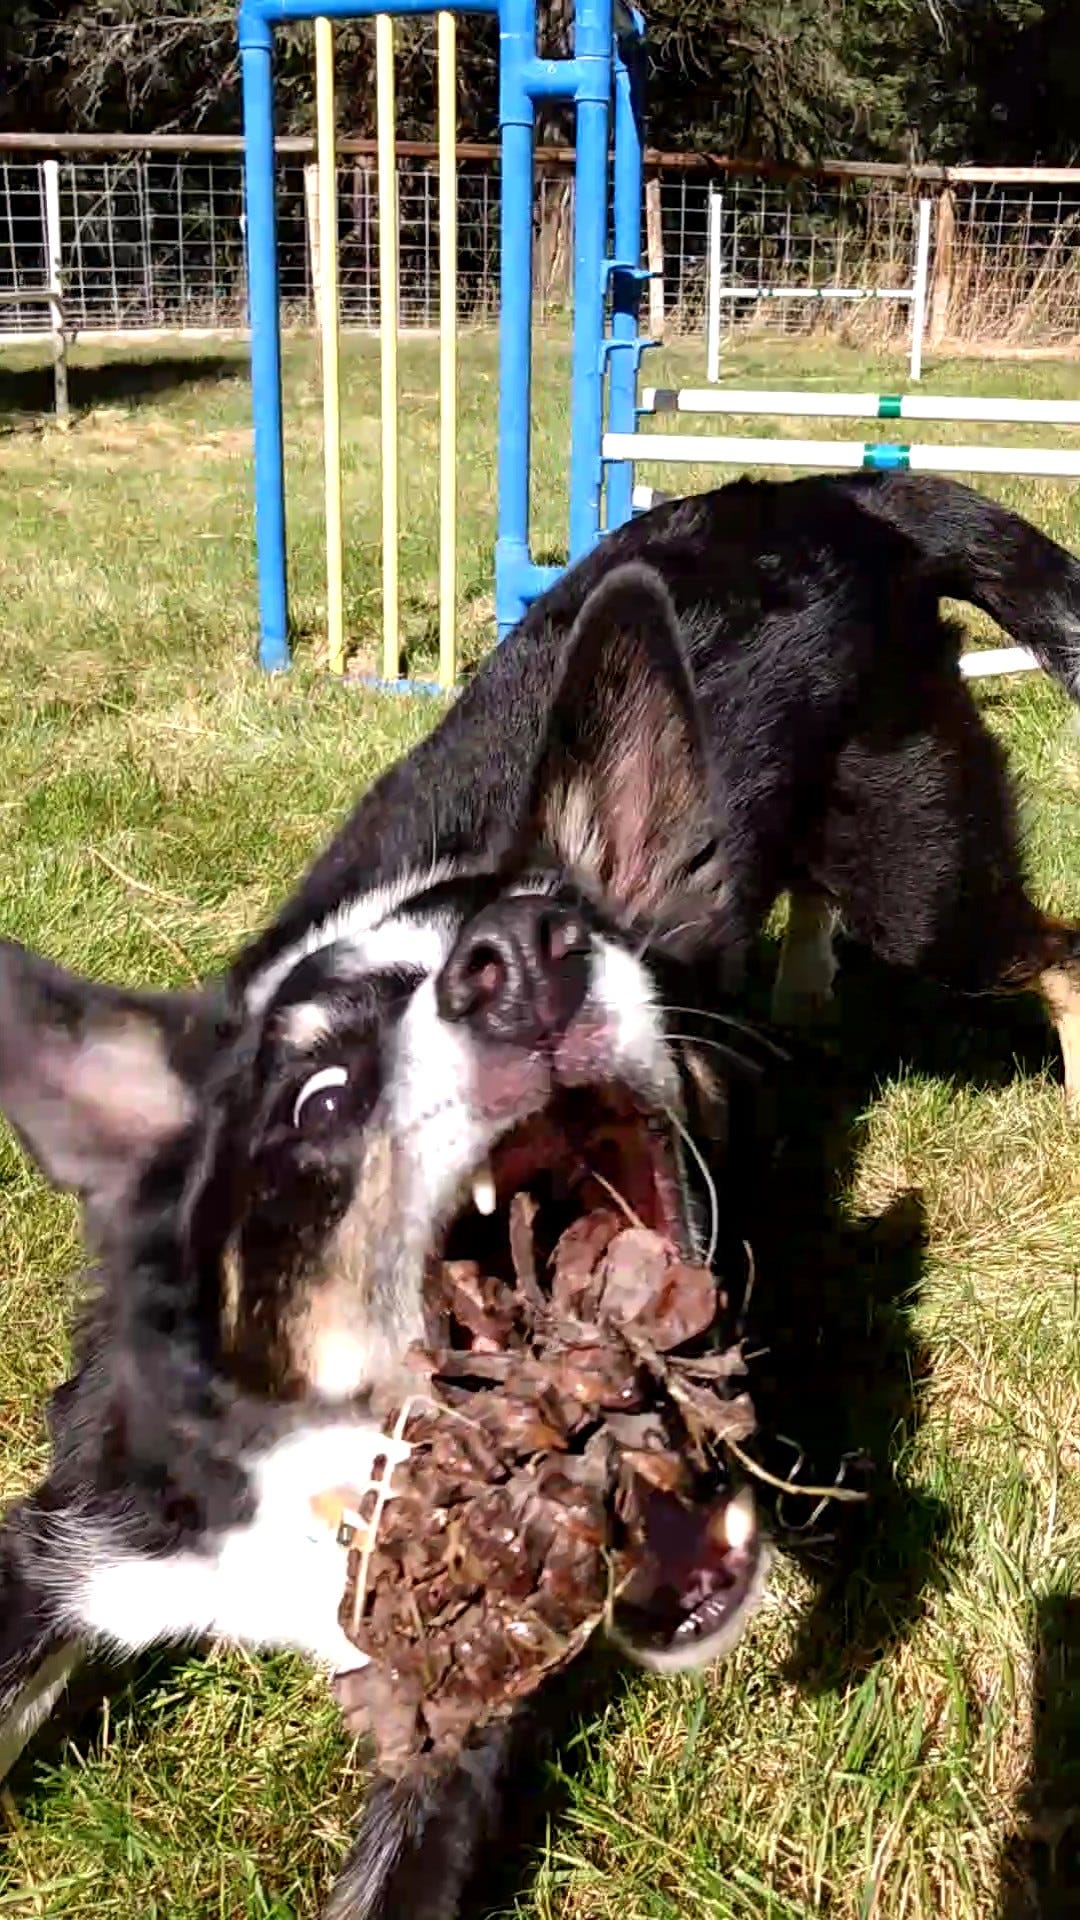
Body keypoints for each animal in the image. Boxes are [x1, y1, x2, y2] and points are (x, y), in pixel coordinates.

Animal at [2, 468, 1076, 1920]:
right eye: (319, 1094)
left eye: (582, 935)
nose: (523, 958)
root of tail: (828, 491)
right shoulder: (73, 1540)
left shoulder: (462, 1718)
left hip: (925, 884)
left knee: (1049, 950)